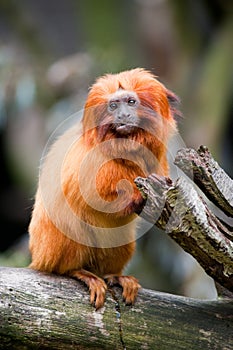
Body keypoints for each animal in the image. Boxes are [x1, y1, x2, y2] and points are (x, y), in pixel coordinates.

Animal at [28, 67, 179, 308]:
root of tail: (38, 258)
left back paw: (113, 275)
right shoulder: (94, 162)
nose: (123, 115)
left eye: (131, 102)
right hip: (51, 248)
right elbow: (96, 198)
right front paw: (136, 198)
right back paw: (78, 272)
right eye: (113, 106)